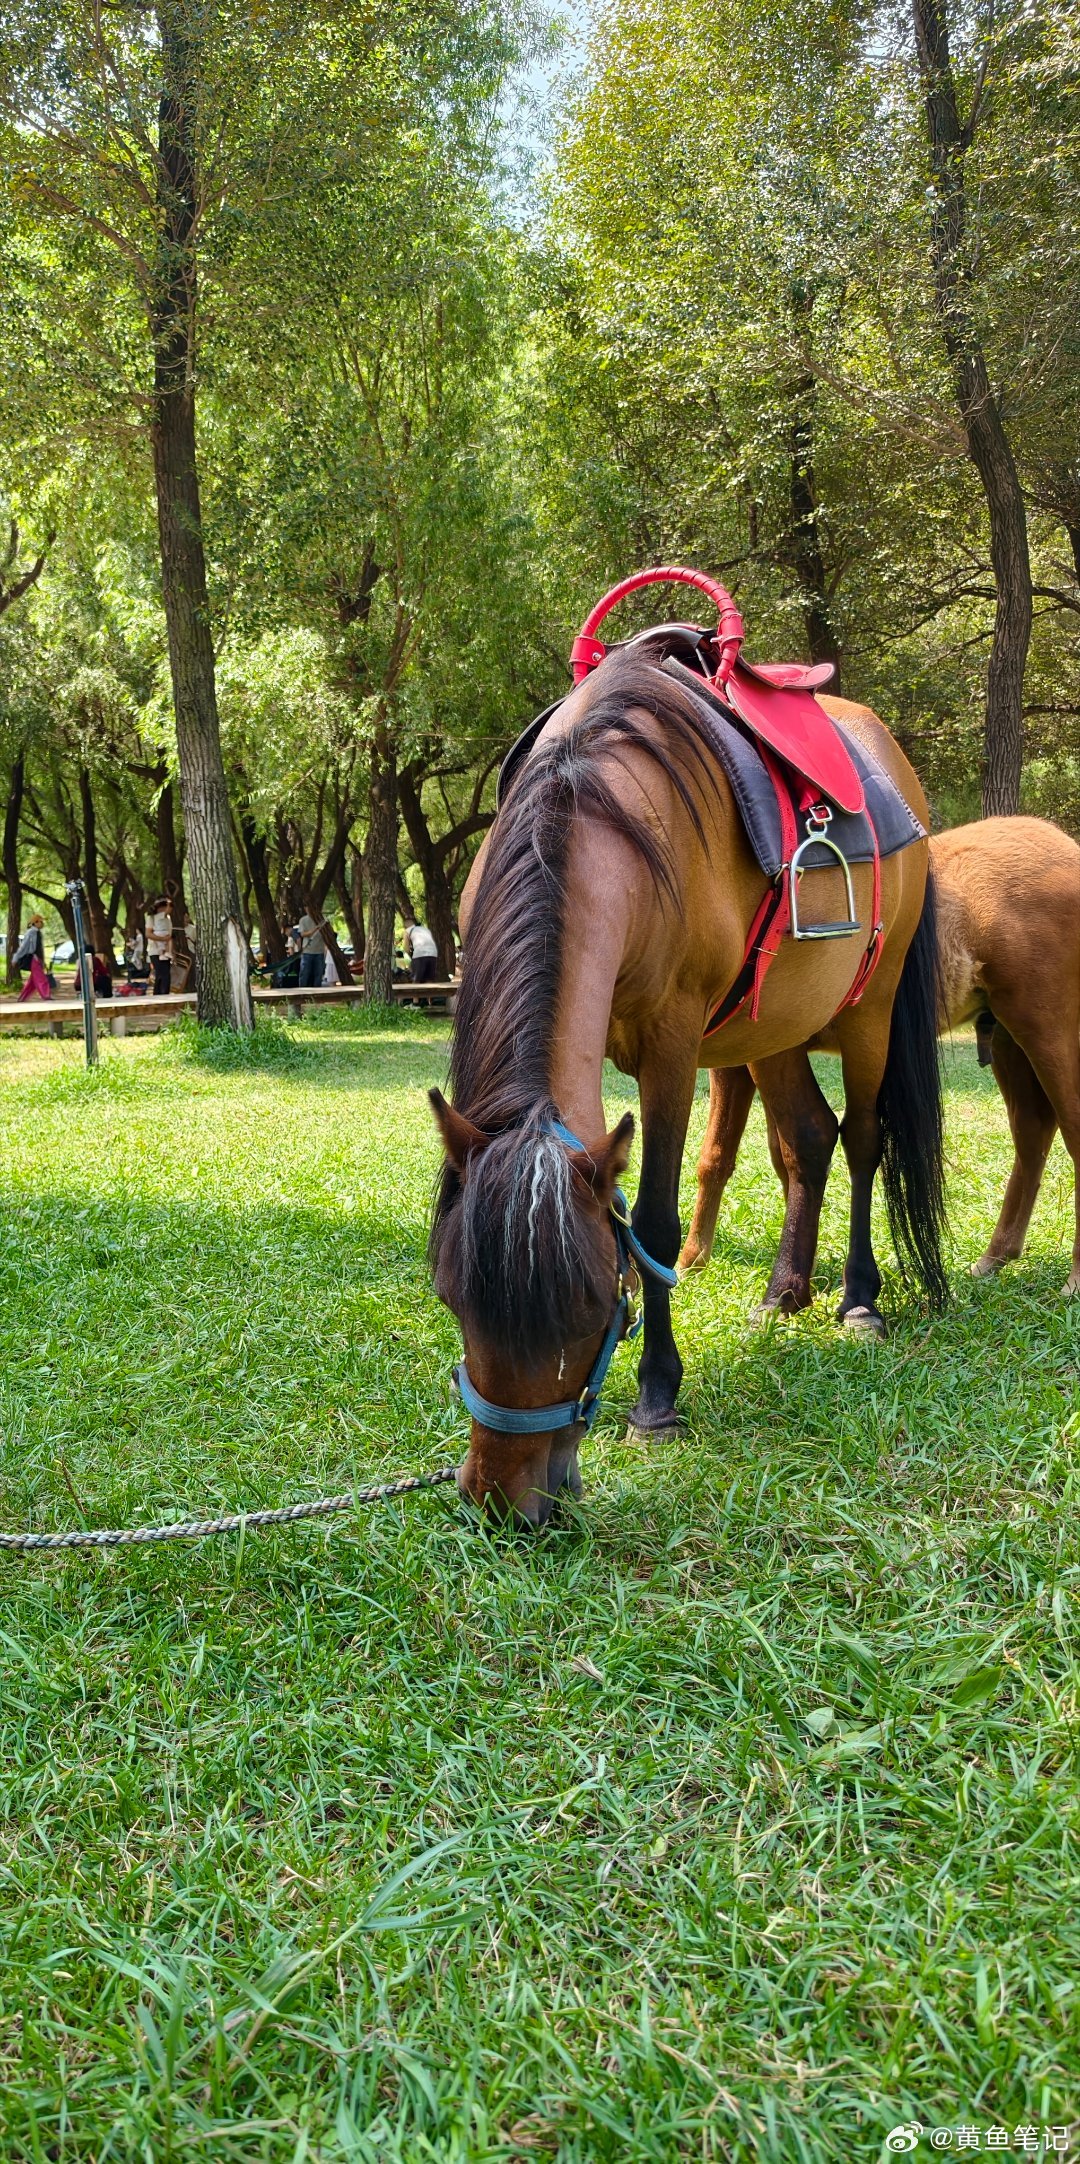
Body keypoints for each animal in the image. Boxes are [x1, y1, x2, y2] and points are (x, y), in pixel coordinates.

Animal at [428, 649, 947, 1526]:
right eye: (450, 1298)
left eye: (592, 1306)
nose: (502, 1500)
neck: (599, 811)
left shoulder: (670, 1047)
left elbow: (657, 1230)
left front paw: (656, 1401)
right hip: (775, 1025)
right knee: (808, 1138)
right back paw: (784, 1292)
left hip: (869, 1011)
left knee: (863, 1140)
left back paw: (858, 1300)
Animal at [679, 815, 1080, 1301]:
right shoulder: (742, 1060)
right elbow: (735, 1156)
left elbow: (766, 1153)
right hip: (1006, 1040)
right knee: (1033, 1130)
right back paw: (995, 1257)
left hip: (1049, 1031)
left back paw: (1074, 1277)